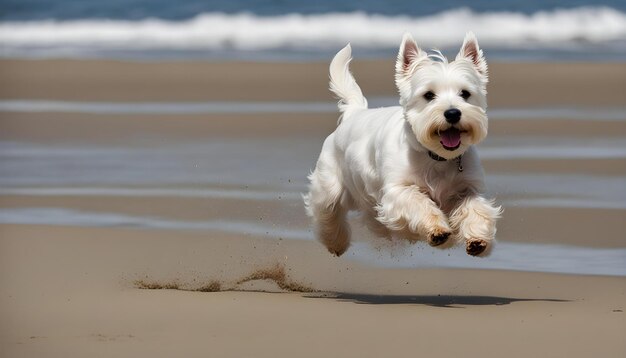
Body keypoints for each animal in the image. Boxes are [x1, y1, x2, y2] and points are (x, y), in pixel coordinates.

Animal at [304, 32, 500, 258]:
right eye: (428, 95)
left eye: (465, 93)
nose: (452, 113)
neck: (436, 157)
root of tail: (355, 112)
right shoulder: (397, 191)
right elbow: (419, 202)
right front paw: (438, 230)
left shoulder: (469, 187)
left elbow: (477, 208)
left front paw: (478, 239)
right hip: (330, 184)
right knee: (327, 211)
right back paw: (335, 242)